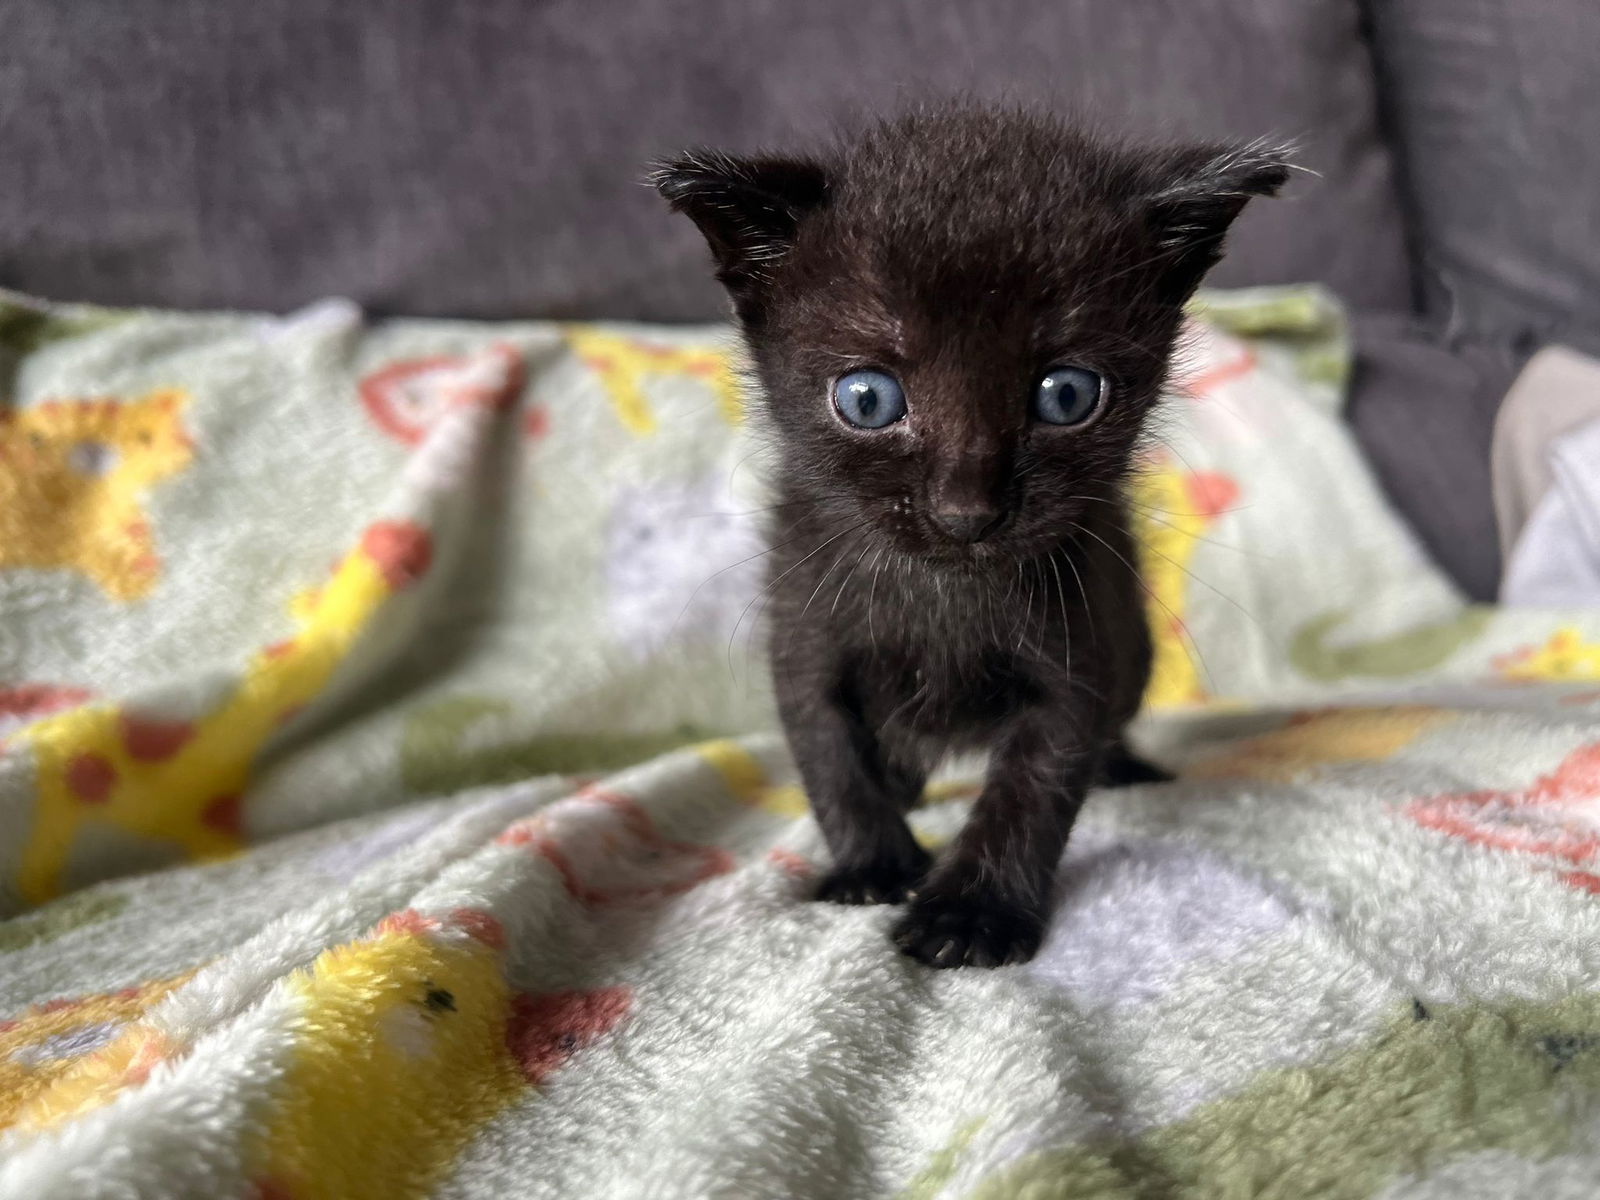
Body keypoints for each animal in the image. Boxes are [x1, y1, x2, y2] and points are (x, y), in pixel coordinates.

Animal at [652, 103, 1286, 966]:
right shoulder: (802, 629)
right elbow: (829, 752)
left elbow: (1034, 783)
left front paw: (972, 913)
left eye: (1066, 394)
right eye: (867, 398)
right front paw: (874, 867)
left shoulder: (1078, 650)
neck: (940, 595)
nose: (966, 510)